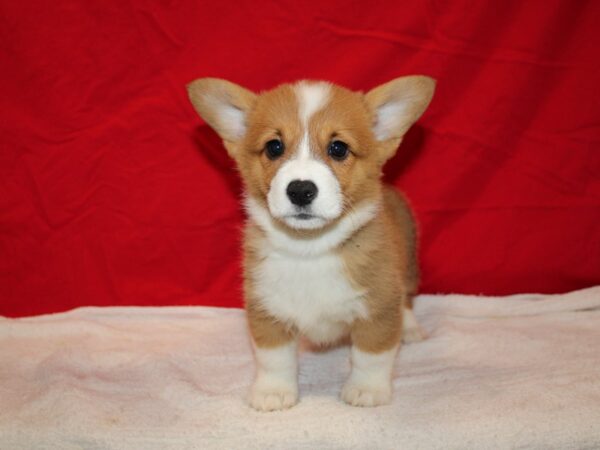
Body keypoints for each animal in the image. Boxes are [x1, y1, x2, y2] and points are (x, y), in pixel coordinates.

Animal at [188, 74, 436, 412]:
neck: (309, 249)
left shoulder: (378, 308)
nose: (301, 190)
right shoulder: (267, 309)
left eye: (338, 148)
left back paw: (409, 329)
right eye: (274, 146)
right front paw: (273, 392)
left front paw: (366, 390)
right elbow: (273, 359)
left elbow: (371, 356)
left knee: (407, 300)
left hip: (409, 266)